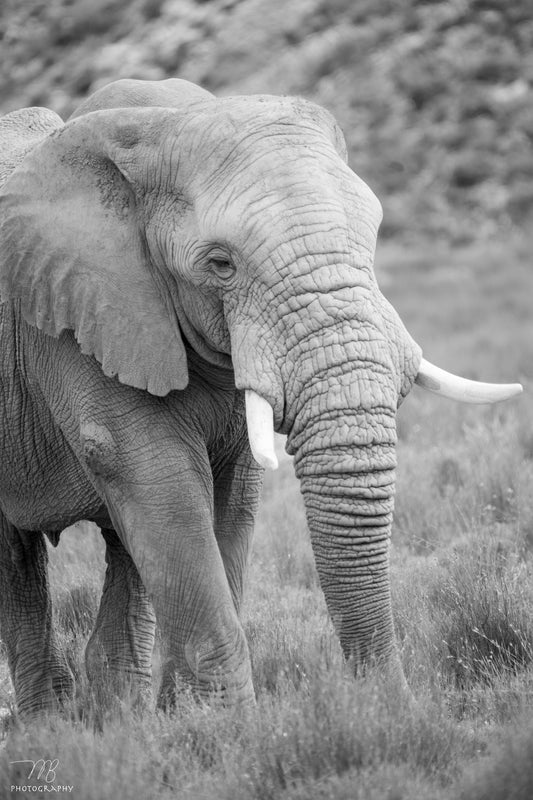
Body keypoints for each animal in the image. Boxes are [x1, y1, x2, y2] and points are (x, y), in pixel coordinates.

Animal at [0, 78, 521, 718]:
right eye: (220, 263)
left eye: (374, 235)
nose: (393, 711)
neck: (158, 124)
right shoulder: (81, 320)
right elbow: (159, 481)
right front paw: (226, 730)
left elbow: (231, 495)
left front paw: (192, 723)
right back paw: (53, 725)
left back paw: (117, 720)